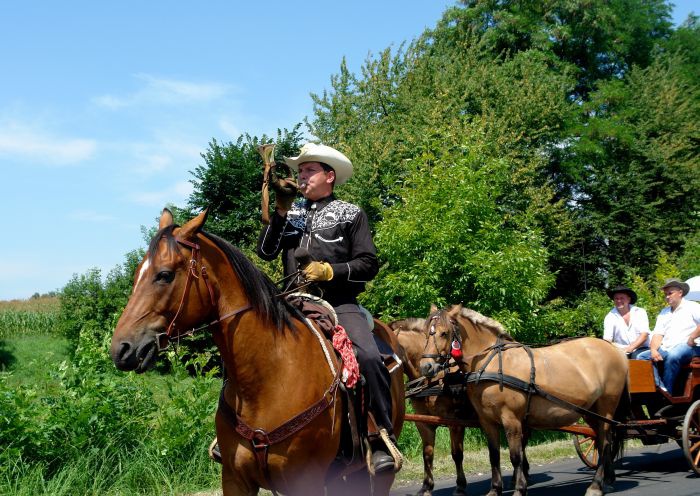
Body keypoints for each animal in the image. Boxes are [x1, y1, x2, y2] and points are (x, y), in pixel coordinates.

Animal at [108, 209, 404, 496]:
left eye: (165, 274)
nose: (121, 348)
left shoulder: (305, 481)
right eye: (137, 274)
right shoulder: (235, 480)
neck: (268, 377)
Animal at [392, 318, 468, 496]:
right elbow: (427, 454)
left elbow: (457, 454)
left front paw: (460, 486)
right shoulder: (423, 422)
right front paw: (426, 486)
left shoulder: (455, 422)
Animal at [418, 304, 628, 496]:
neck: (490, 362)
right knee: (601, 441)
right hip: (590, 411)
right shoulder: (487, 421)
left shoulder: (511, 420)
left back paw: (596, 485)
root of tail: (613, 349)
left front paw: (520, 488)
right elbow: (494, 455)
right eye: (426, 334)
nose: (426, 367)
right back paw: (607, 480)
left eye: (444, 333)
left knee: (605, 443)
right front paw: (495, 489)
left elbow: (515, 456)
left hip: (606, 407)